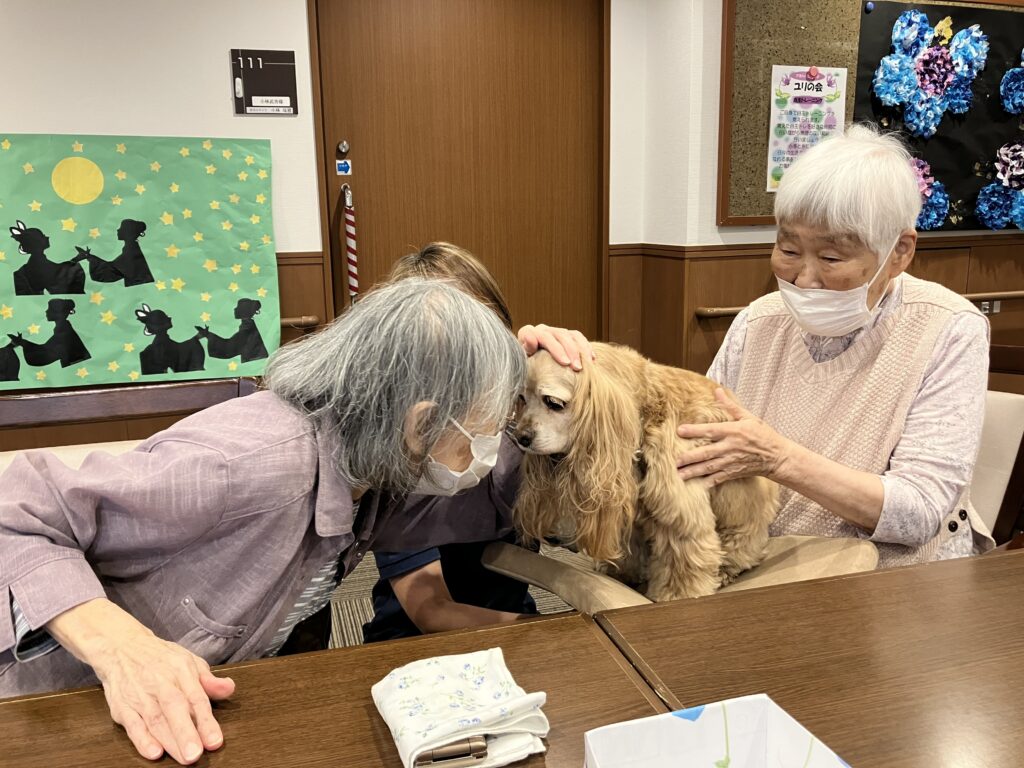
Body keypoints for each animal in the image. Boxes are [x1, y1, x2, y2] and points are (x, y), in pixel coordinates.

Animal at [512, 342, 774, 602]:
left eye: (553, 402)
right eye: (522, 398)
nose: (520, 437)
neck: (643, 418)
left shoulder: (679, 513)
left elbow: (682, 562)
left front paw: (676, 596)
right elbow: (631, 548)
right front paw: (622, 573)